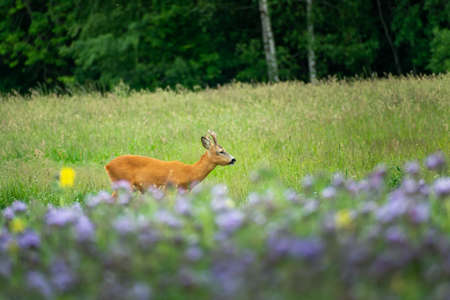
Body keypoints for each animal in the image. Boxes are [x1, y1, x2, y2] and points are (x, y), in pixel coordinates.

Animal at [103, 129, 234, 191]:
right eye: (220, 151)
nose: (233, 159)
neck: (190, 172)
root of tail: (107, 165)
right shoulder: (170, 188)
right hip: (122, 183)